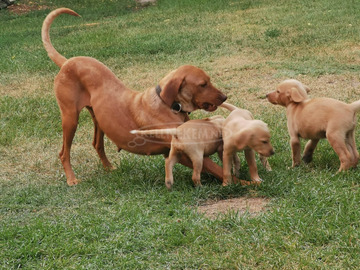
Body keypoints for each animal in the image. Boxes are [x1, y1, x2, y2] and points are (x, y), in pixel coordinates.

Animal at [41, 8, 228, 186]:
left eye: (209, 80)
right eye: (203, 84)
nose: (225, 97)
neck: (169, 105)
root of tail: (67, 62)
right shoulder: (181, 151)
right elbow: (216, 168)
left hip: (99, 119)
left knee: (97, 144)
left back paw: (109, 168)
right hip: (70, 118)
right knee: (63, 152)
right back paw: (71, 179)